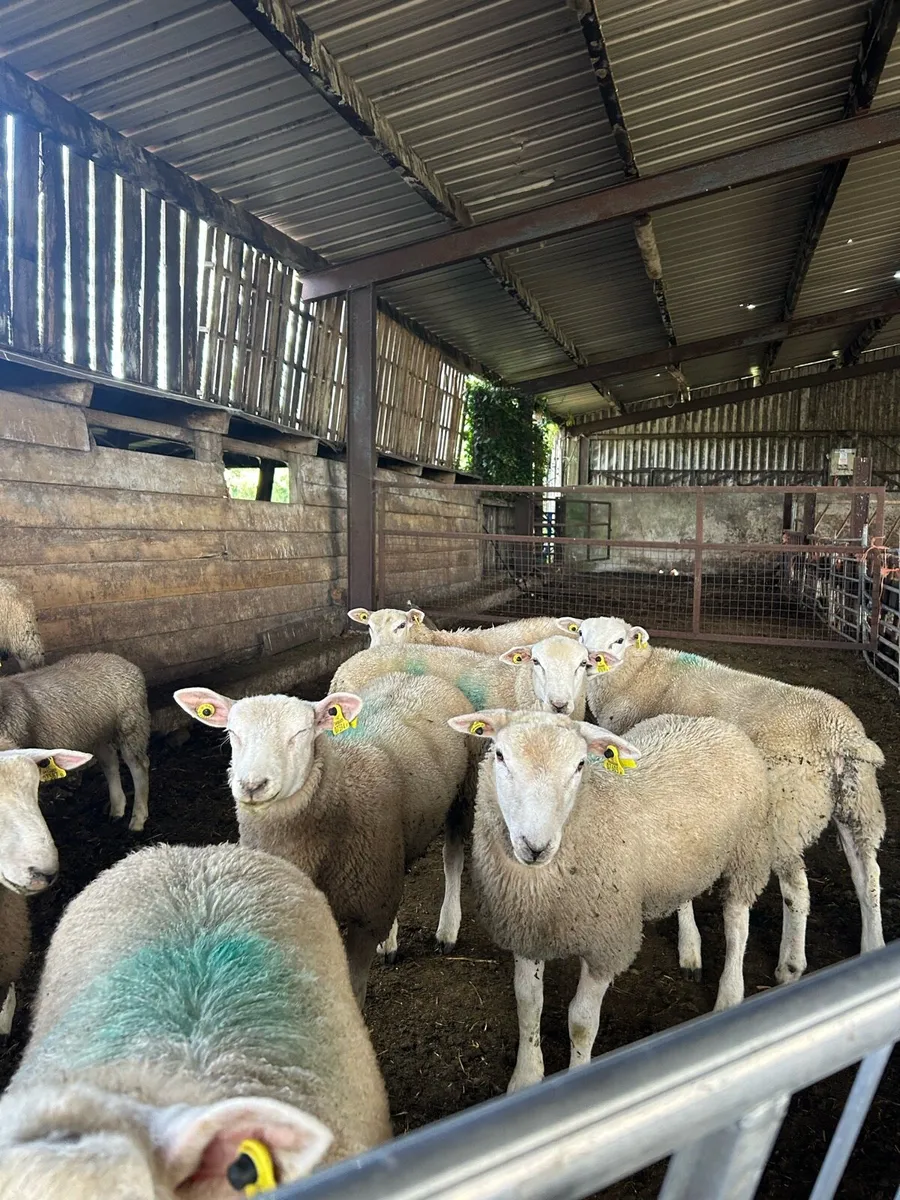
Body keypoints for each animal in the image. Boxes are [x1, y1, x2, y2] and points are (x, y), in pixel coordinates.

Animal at [0, 652, 151, 831]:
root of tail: (119, 659)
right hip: (98, 733)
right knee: (110, 763)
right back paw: (117, 809)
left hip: (130, 722)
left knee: (138, 766)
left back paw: (138, 819)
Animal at [175, 673, 471, 1006]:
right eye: (232, 733)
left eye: (300, 734)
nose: (252, 785)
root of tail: (419, 675)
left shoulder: (365, 916)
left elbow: (355, 988)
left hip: (463, 793)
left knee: (452, 858)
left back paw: (447, 929)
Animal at [447, 708, 774, 1092]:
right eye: (499, 755)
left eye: (578, 765)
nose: (535, 846)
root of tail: (711, 721)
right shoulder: (528, 930)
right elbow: (528, 1003)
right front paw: (526, 1077)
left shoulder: (607, 944)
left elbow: (581, 1022)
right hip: (684, 859)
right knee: (686, 896)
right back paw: (690, 949)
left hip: (747, 851)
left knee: (737, 925)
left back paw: (729, 994)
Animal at [571, 615, 886, 984]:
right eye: (580, 633)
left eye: (619, 640)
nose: (592, 659)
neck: (641, 675)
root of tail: (842, 736)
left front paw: (689, 948)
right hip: (858, 805)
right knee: (868, 876)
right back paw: (872, 946)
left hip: (785, 812)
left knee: (797, 890)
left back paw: (790, 965)